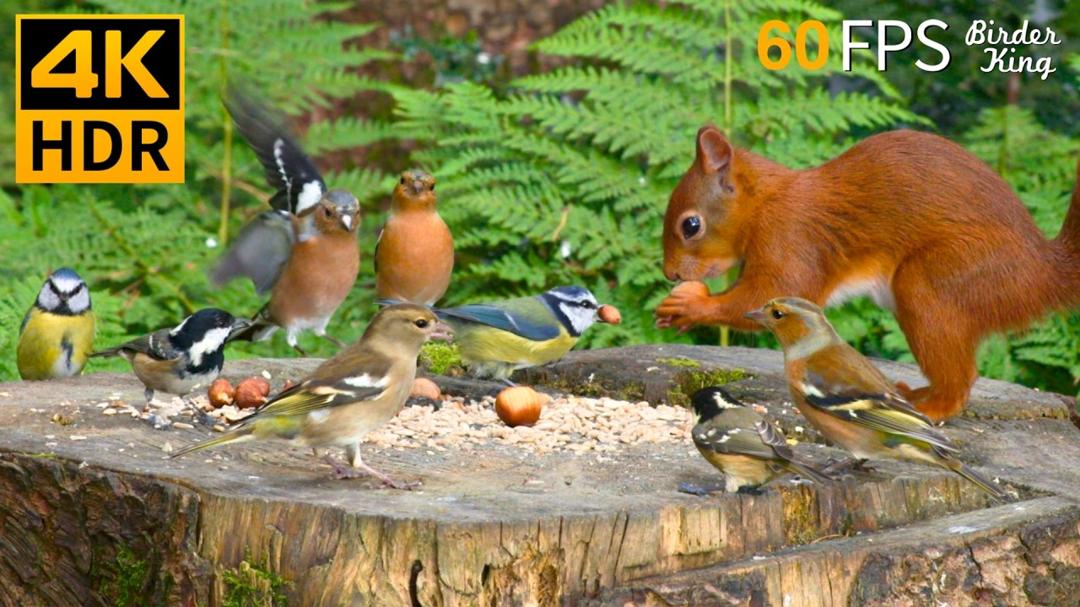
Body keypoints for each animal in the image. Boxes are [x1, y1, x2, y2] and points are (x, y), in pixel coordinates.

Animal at [656, 126, 1080, 422]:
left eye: (691, 225)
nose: (671, 273)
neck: (765, 203)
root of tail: (1040, 271)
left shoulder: (791, 237)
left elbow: (768, 294)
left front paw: (689, 305)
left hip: (937, 281)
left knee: (960, 382)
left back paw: (929, 405)